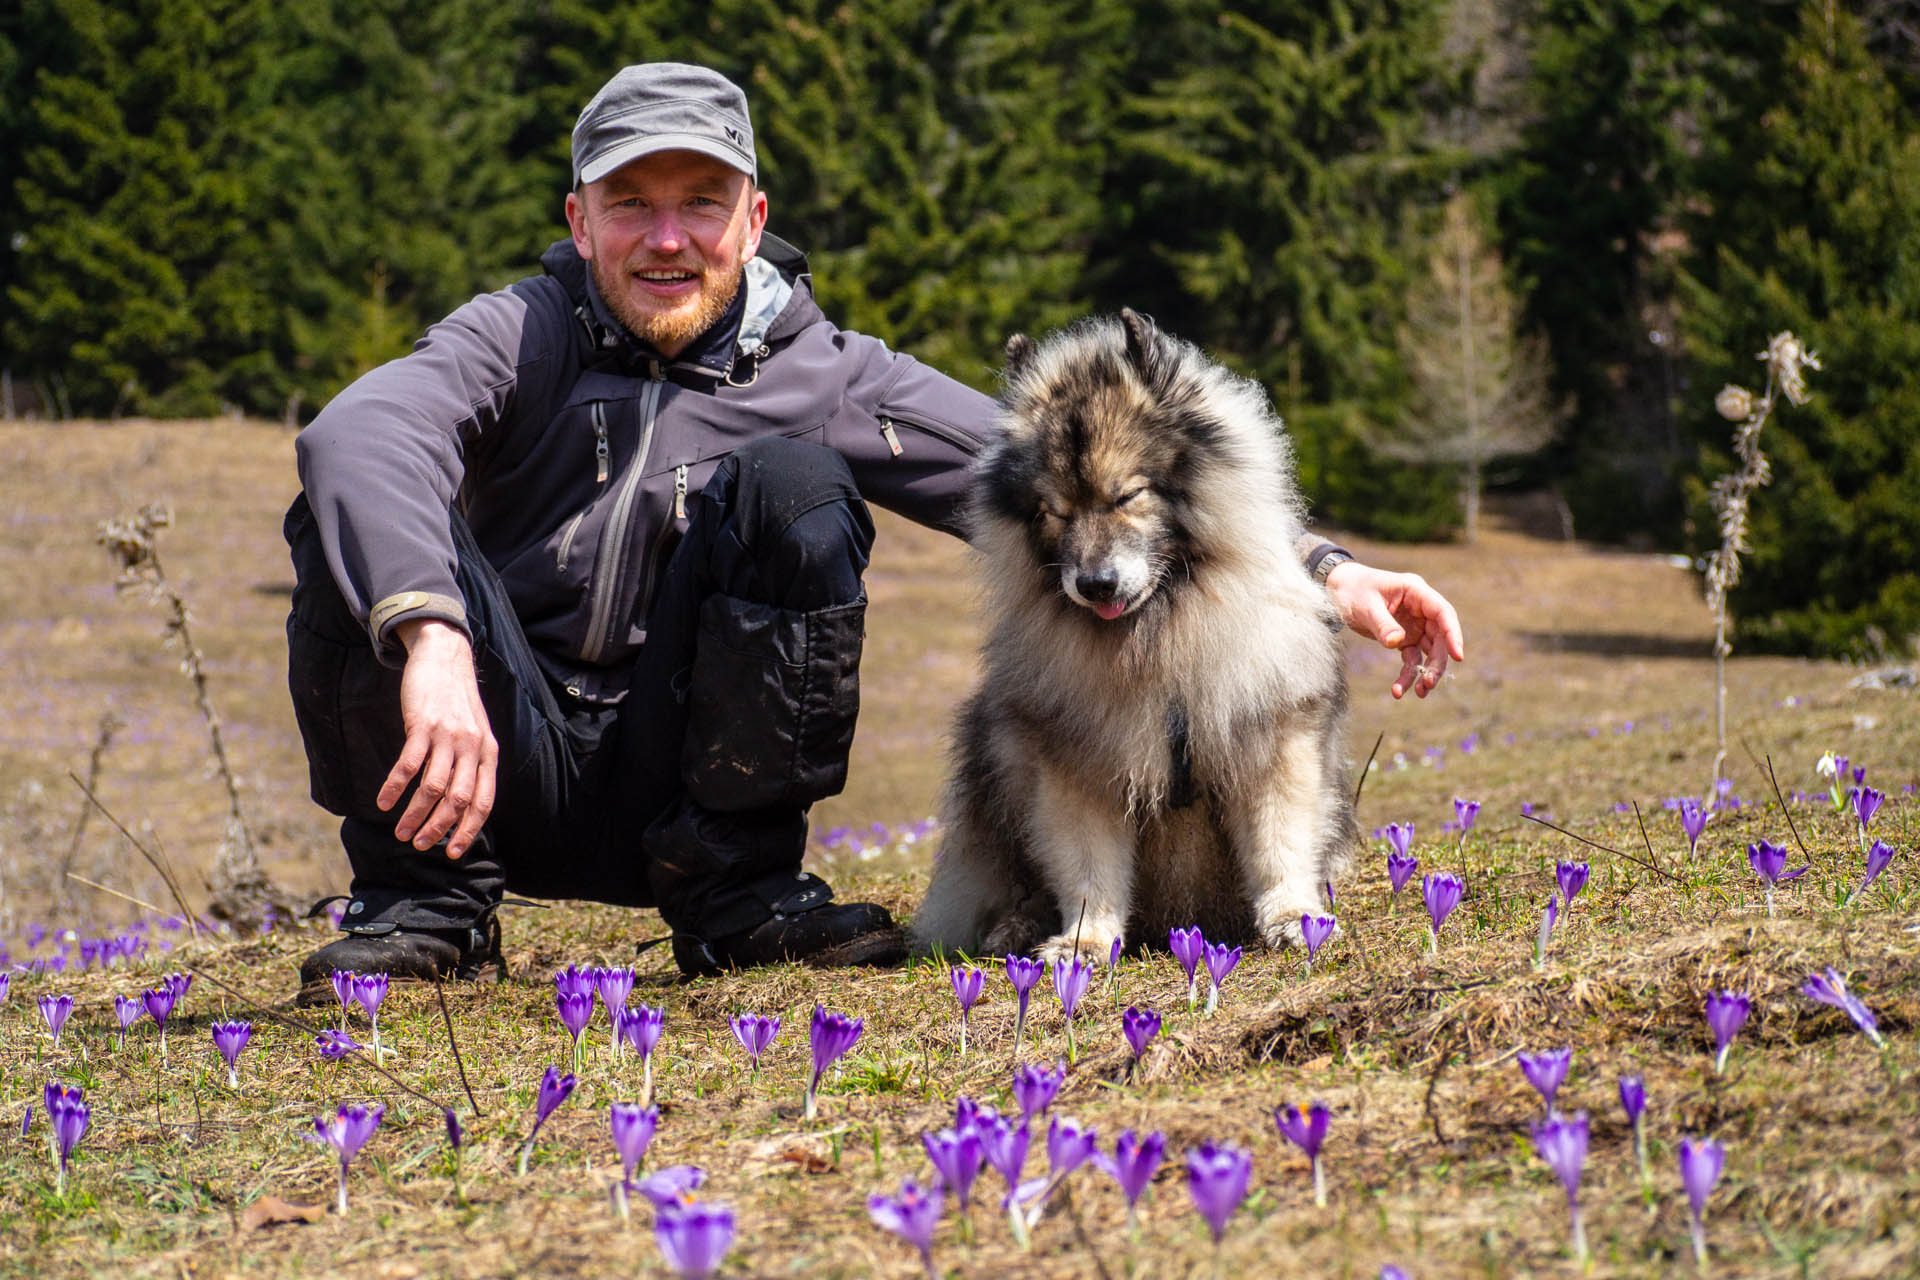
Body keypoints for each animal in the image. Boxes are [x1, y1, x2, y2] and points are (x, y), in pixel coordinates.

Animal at [910, 307, 1351, 959]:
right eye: (1054, 511)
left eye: (1127, 495)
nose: (1094, 584)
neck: (1156, 633)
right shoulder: (1078, 766)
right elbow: (1089, 868)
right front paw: (1084, 942)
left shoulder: (1272, 739)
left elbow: (1280, 845)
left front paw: (1295, 917)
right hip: (992, 756)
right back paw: (1014, 927)